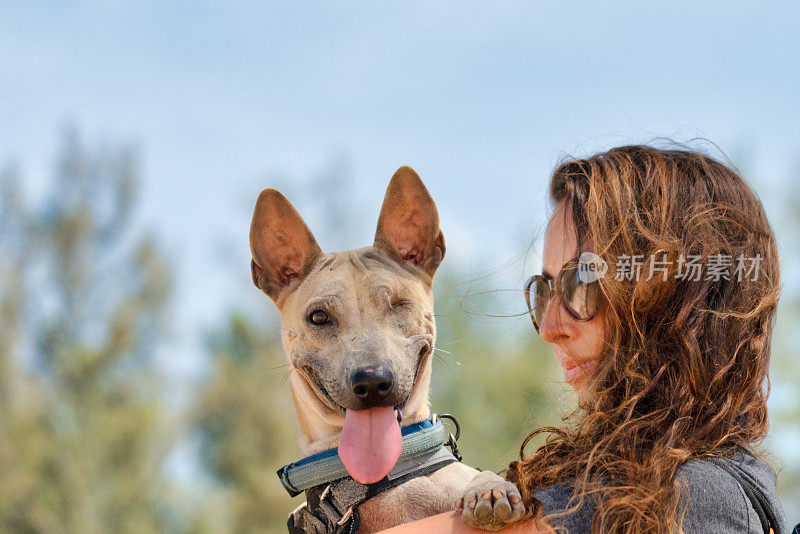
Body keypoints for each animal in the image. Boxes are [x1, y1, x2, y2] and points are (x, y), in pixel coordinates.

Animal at [250, 166, 524, 532]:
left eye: (398, 304)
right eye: (319, 316)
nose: (371, 382)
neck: (372, 479)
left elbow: (475, 478)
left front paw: (489, 488)